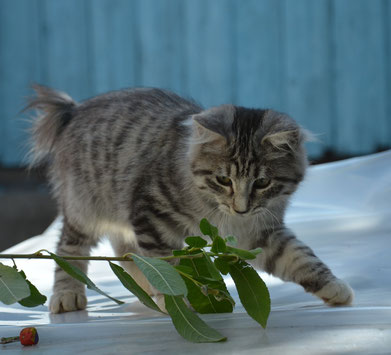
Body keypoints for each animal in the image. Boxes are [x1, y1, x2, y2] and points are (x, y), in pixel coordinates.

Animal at [26, 86, 354, 314]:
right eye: (223, 180)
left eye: (262, 183)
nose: (241, 207)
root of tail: (75, 109)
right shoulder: (152, 216)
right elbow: (166, 264)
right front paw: (178, 300)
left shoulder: (260, 232)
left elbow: (301, 258)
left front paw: (334, 287)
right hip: (84, 207)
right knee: (68, 248)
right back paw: (68, 295)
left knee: (126, 252)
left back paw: (145, 290)